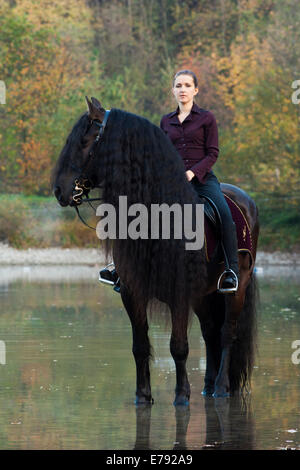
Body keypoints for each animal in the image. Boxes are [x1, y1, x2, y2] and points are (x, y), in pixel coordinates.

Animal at [51, 98, 258, 404]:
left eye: (85, 141)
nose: (58, 190)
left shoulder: (179, 293)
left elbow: (179, 346)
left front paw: (181, 396)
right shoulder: (132, 292)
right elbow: (139, 346)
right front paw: (142, 395)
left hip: (237, 286)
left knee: (226, 333)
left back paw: (220, 388)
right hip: (204, 294)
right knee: (210, 332)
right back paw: (208, 386)